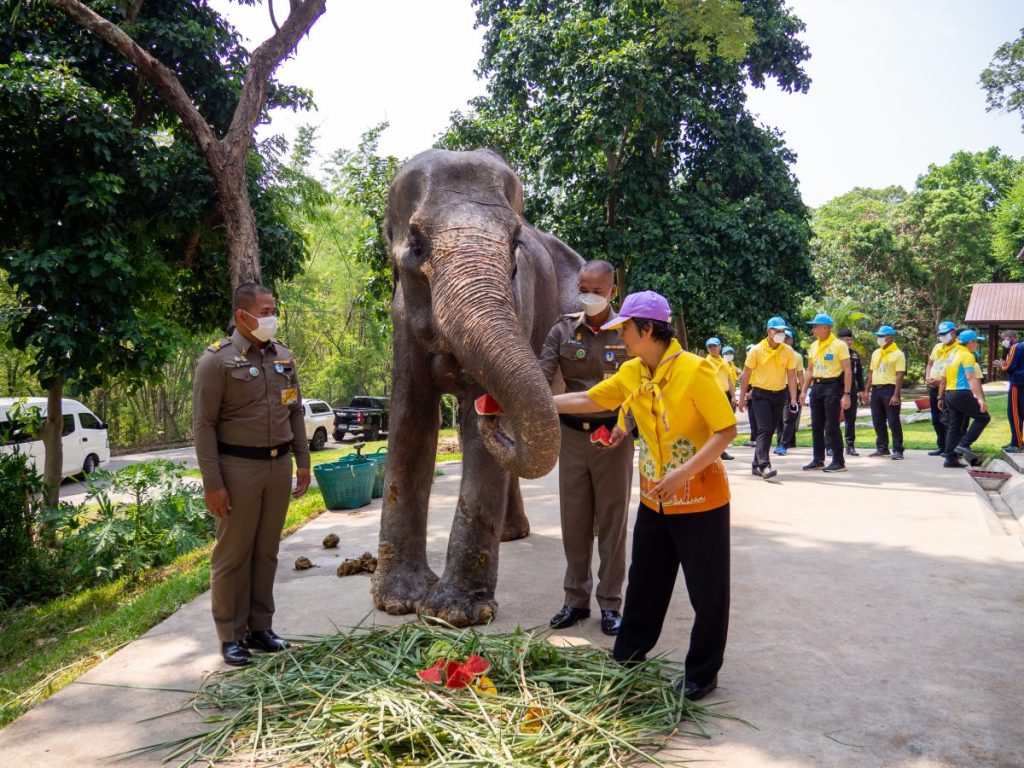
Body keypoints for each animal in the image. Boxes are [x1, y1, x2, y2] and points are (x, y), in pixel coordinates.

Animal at [372, 147, 585, 626]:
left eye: (514, 244)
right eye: (416, 244)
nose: (493, 407)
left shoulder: (520, 301)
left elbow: (474, 435)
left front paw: (452, 614)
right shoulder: (400, 318)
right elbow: (410, 422)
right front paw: (397, 603)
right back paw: (511, 534)